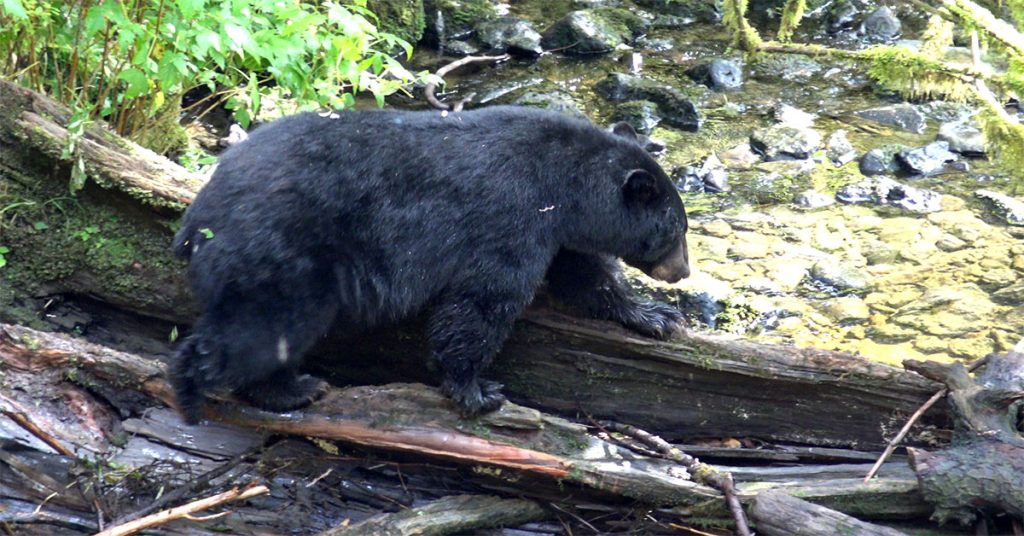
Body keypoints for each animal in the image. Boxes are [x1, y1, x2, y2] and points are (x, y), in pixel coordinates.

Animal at [171, 105, 689, 424]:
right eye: (676, 230)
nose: (683, 272)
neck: (567, 184)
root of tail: (199, 214)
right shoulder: (512, 217)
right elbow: (483, 301)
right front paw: (475, 389)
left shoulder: (557, 232)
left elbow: (586, 275)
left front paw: (656, 315)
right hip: (282, 253)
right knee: (262, 329)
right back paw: (275, 390)